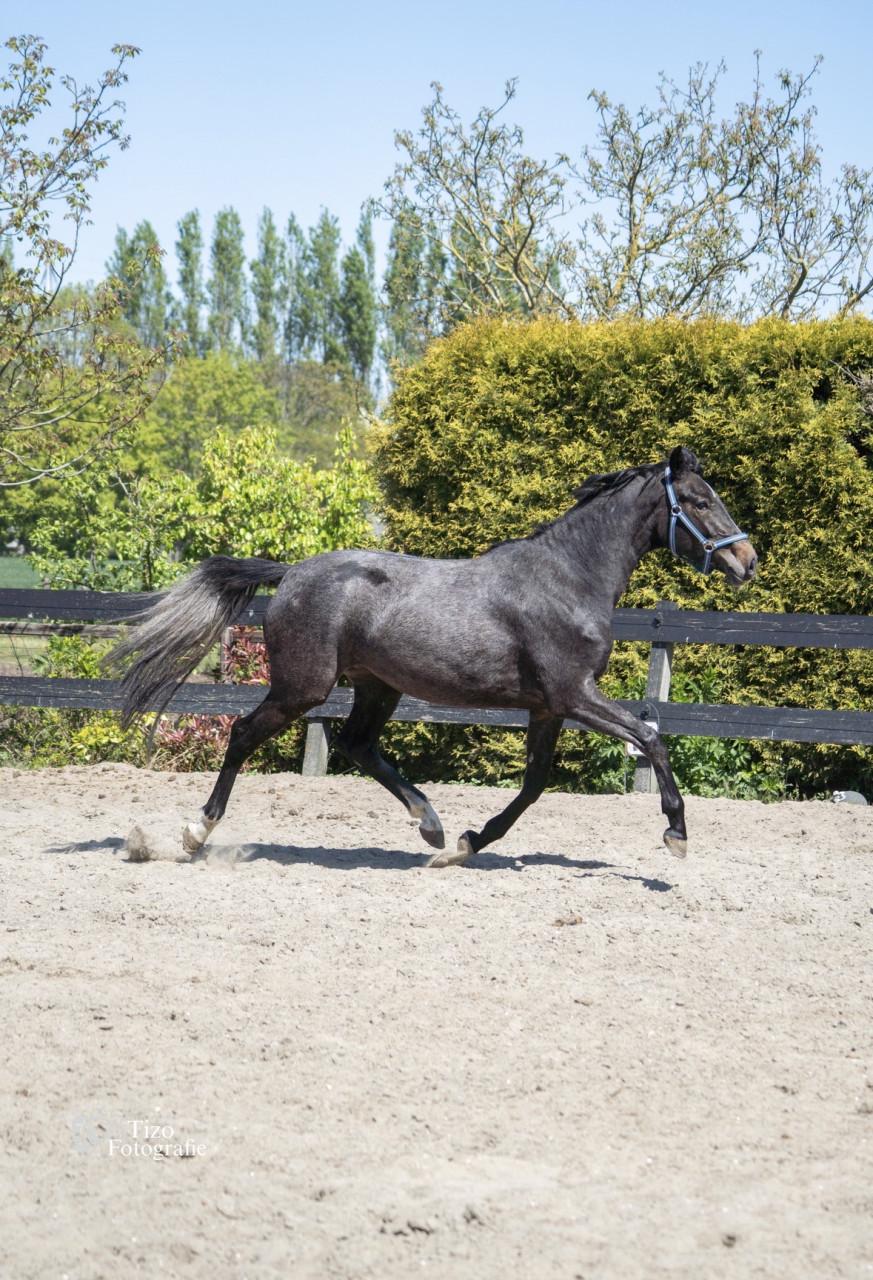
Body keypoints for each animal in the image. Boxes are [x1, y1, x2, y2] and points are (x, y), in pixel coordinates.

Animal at [110, 445, 757, 865]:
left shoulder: (548, 707)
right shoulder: (575, 694)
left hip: (378, 684)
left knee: (357, 745)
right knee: (244, 733)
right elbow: (650, 737)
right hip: (303, 687)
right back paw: (195, 833)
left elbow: (534, 783)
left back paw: (432, 827)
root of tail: (292, 572)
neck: (568, 580)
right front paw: (677, 833)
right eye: (698, 501)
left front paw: (471, 842)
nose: (747, 561)